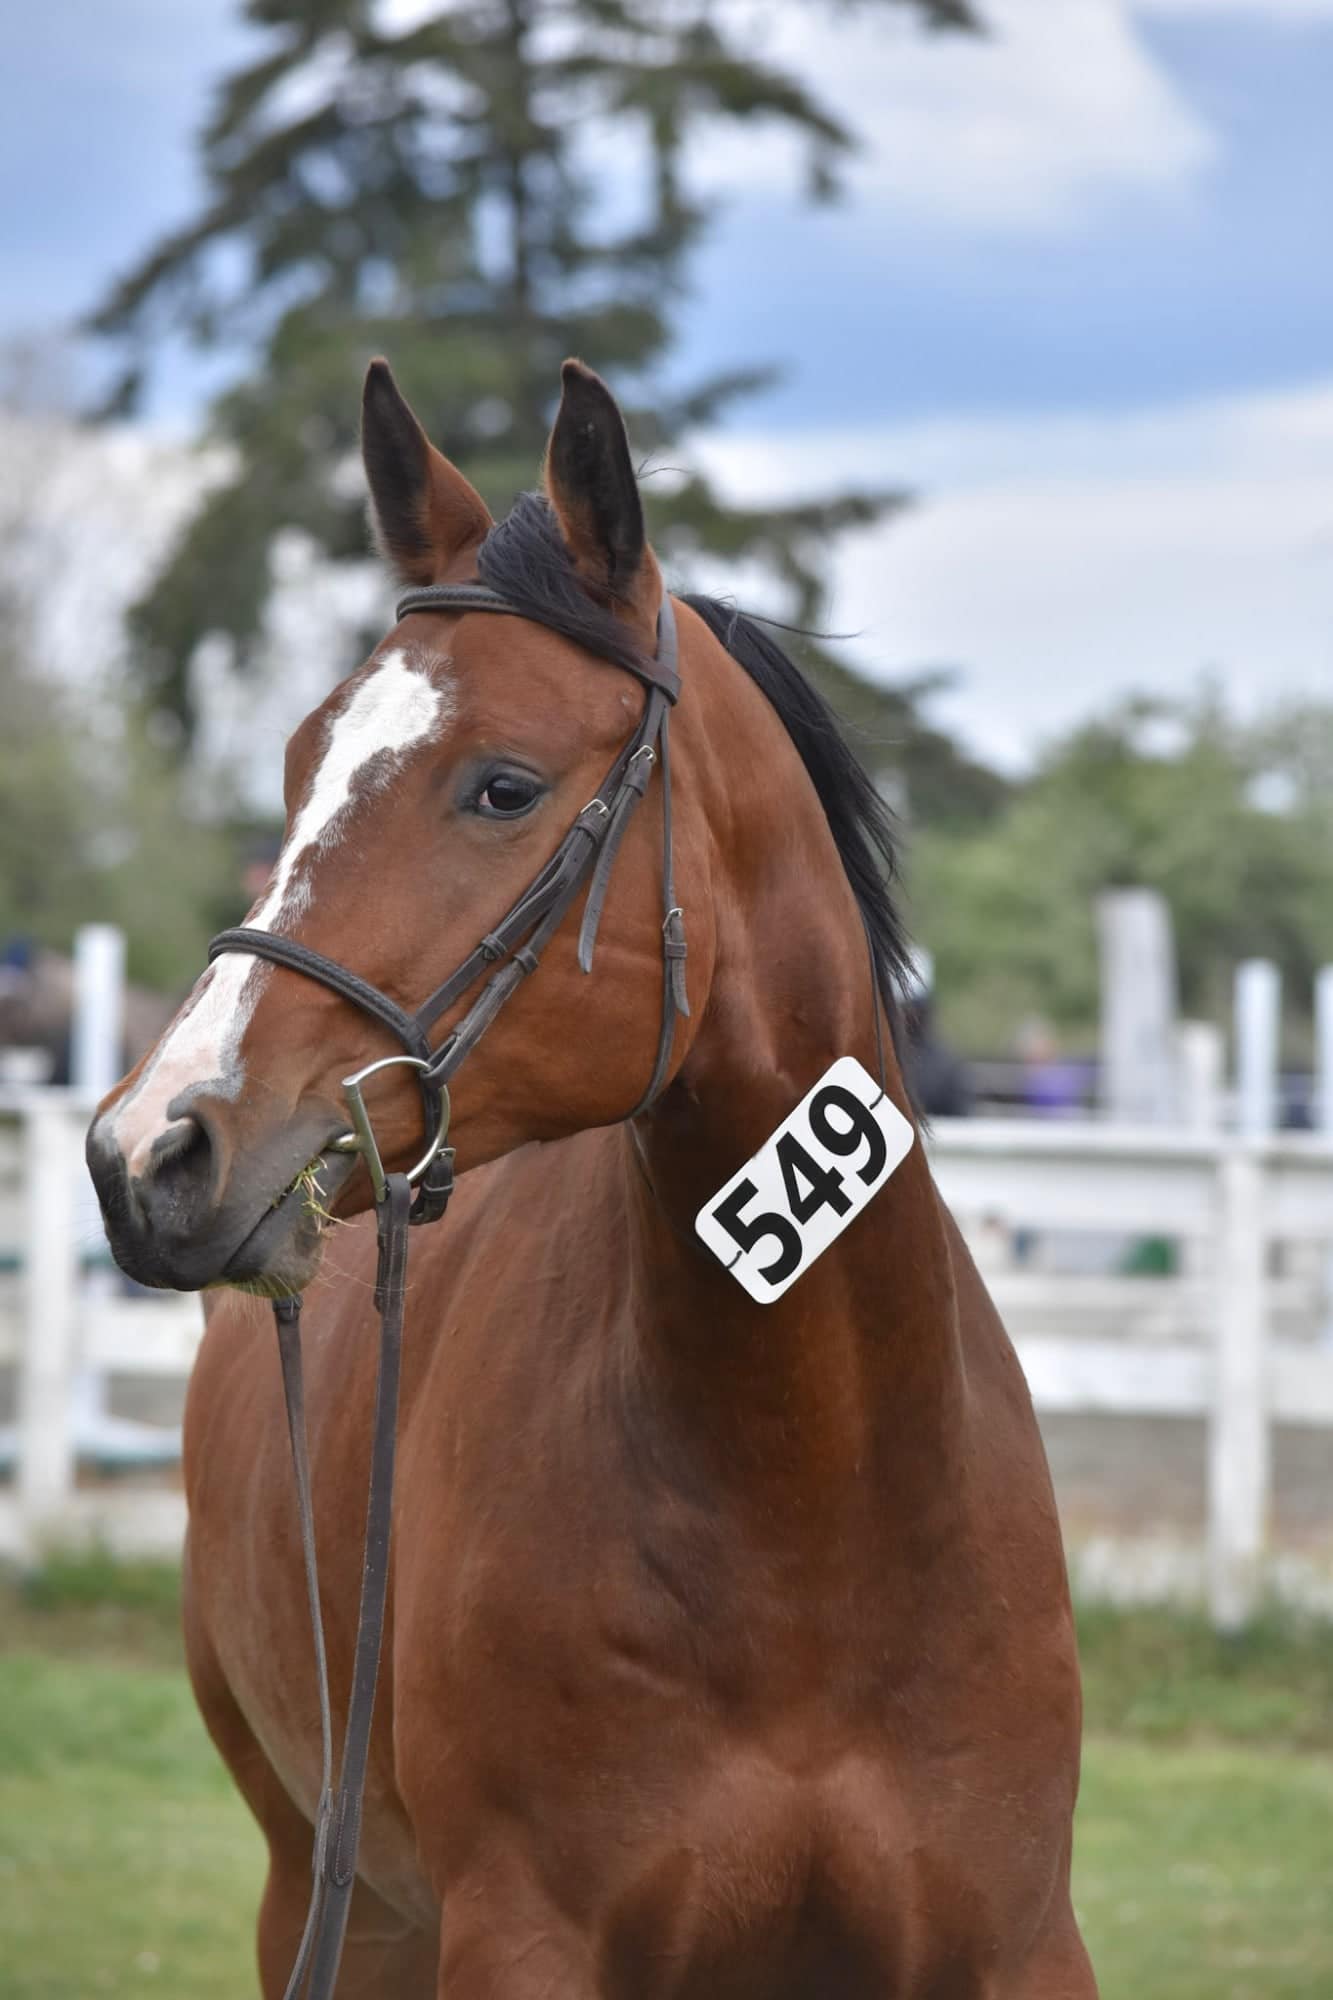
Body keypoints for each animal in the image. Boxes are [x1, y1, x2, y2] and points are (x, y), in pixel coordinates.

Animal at [87, 357, 1096, 1998]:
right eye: (300, 766)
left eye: (503, 787)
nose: (149, 1147)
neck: (809, 1518)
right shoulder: (518, 1941)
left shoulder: (1016, 1942)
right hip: (327, 1896)